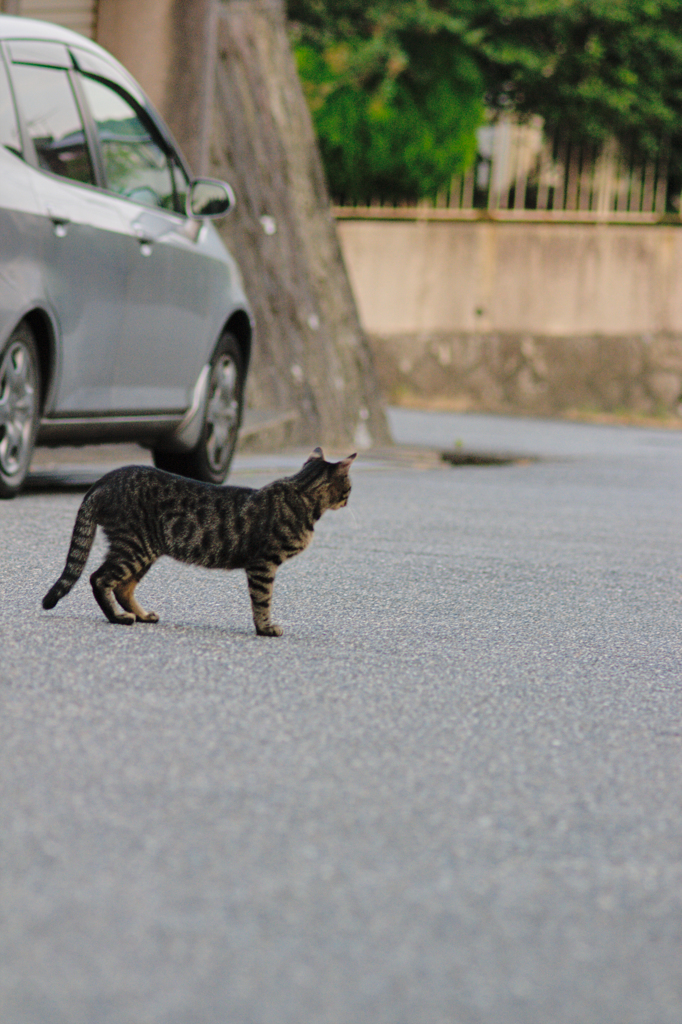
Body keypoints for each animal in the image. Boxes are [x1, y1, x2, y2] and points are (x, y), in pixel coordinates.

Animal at [41, 446, 356, 634]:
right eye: (349, 487)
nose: (349, 500)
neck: (300, 492)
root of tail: (106, 478)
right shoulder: (263, 565)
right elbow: (262, 600)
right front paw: (265, 629)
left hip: (145, 550)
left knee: (122, 587)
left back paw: (141, 615)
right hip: (135, 547)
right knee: (99, 579)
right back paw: (118, 618)